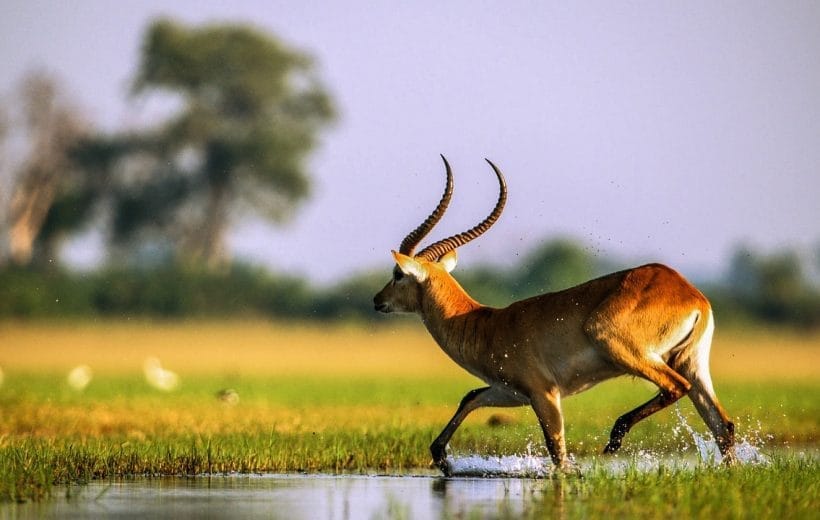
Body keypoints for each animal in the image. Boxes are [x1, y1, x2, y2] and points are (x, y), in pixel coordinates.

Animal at [374, 155, 740, 476]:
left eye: (397, 273)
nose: (378, 300)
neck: (485, 324)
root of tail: (690, 294)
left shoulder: (544, 393)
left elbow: (557, 453)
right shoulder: (510, 391)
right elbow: (471, 397)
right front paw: (442, 459)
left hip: (623, 348)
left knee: (675, 388)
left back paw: (615, 438)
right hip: (690, 362)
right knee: (722, 424)